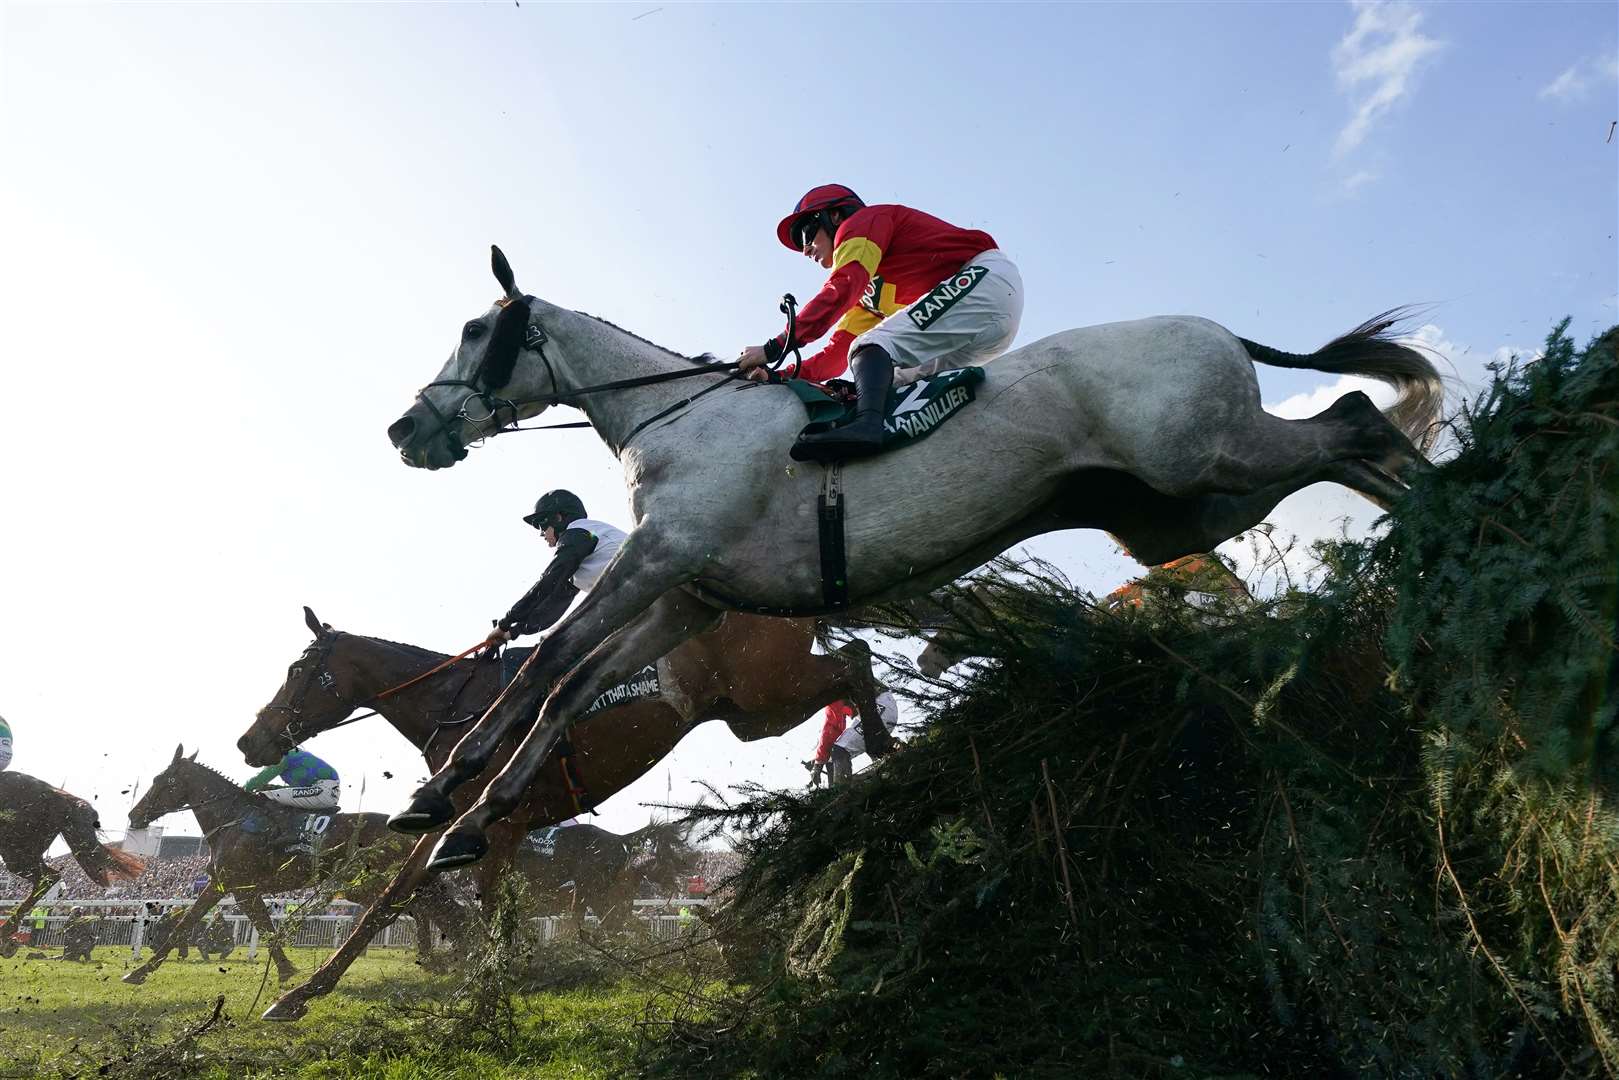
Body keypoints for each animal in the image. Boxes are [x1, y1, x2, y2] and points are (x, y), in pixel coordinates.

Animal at [122, 751, 466, 990]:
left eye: (162, 781)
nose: (134, 815)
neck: (233, 818)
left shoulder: (229, 883)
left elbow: (185, 924)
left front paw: (139, 972)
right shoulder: (240, 887)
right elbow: (264, 927)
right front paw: (287, 970)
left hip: (369, 883)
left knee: (428, 910)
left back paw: (446, 956)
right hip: (368, 886)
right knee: (426, 910)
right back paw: (439, 957)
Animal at [236, 608, 887, 1023]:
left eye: (297, 672)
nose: (250, 742)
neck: (458, 708)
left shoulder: (493, 826)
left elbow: (470, 908)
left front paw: (487, 991)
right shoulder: (461, 828)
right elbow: (397, 900)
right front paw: (300, 994)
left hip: (764, 688)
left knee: (853, 663)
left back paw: (876, 749)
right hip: (752, 712)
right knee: (850, 663)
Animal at [382, 247, 1444, 867]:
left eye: (475, 330)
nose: (406, 429)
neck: (674, 416)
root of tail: (1218, 328)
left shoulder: (660, 556)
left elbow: (555, 666)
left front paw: (447, 803)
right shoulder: (689, 593)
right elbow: (571, 685)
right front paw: (459, 811)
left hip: (1204, 455)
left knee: (1355, 421)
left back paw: (1446, 535)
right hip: (1180, 508)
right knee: (1350, 443)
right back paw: (1429, 552)